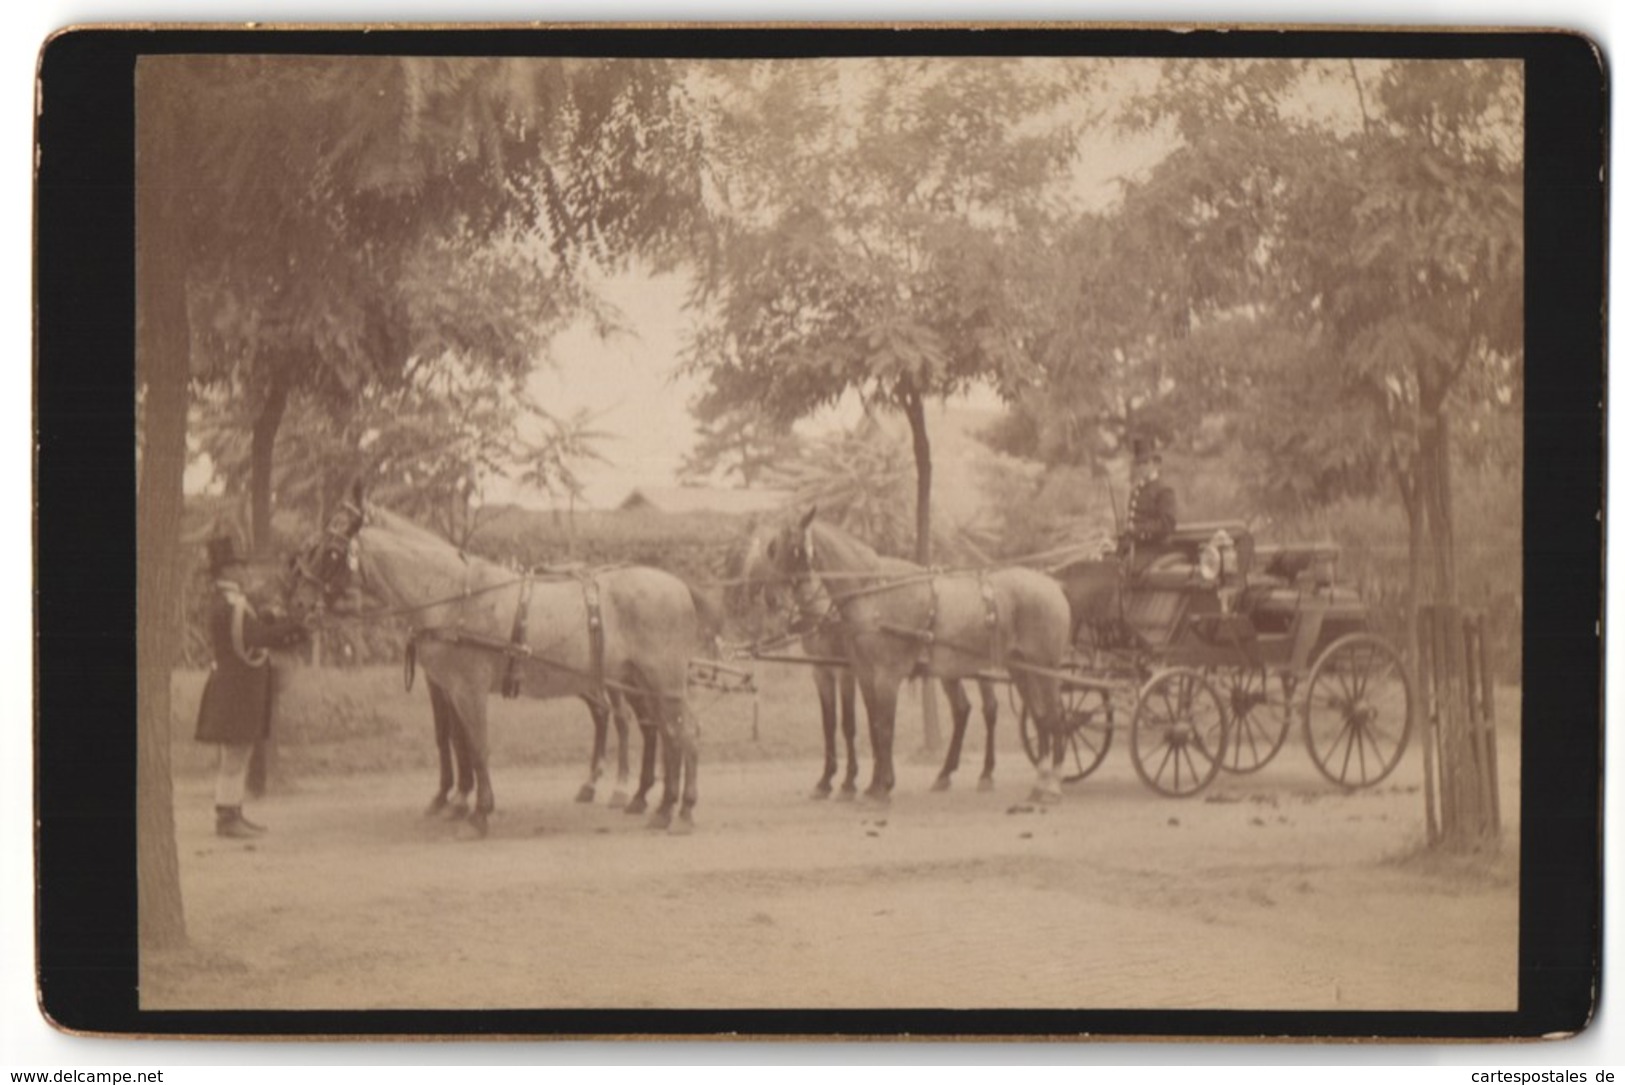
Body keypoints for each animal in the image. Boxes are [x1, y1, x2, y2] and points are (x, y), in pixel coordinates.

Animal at [289, 484, 708, 838]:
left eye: (330, 549)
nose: (299, 604)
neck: (452, 596)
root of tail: (679, 586)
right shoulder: (449, 687)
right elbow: (458, 742)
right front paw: (460, 802)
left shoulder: (467, 688)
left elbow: (476, 746)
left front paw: (477, 813)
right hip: (646, 683)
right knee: (665, 733)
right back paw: (660, 806)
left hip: (664, 682)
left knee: (681, 733)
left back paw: (682, 810)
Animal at [760, 510, 1079, 805]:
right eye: (772, 548)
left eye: (792, 549)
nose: (771, 599)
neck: (875, 594)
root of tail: (1053, 585)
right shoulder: (859, 673)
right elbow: (870, 726)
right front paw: (868, 784)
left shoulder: (882, 675)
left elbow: (882, 728)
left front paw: (879, 787)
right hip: (1020, 669)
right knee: (1035, 717)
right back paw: (1034, 783)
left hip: (1043, 669)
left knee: (1051, 717)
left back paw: (1047, 783)